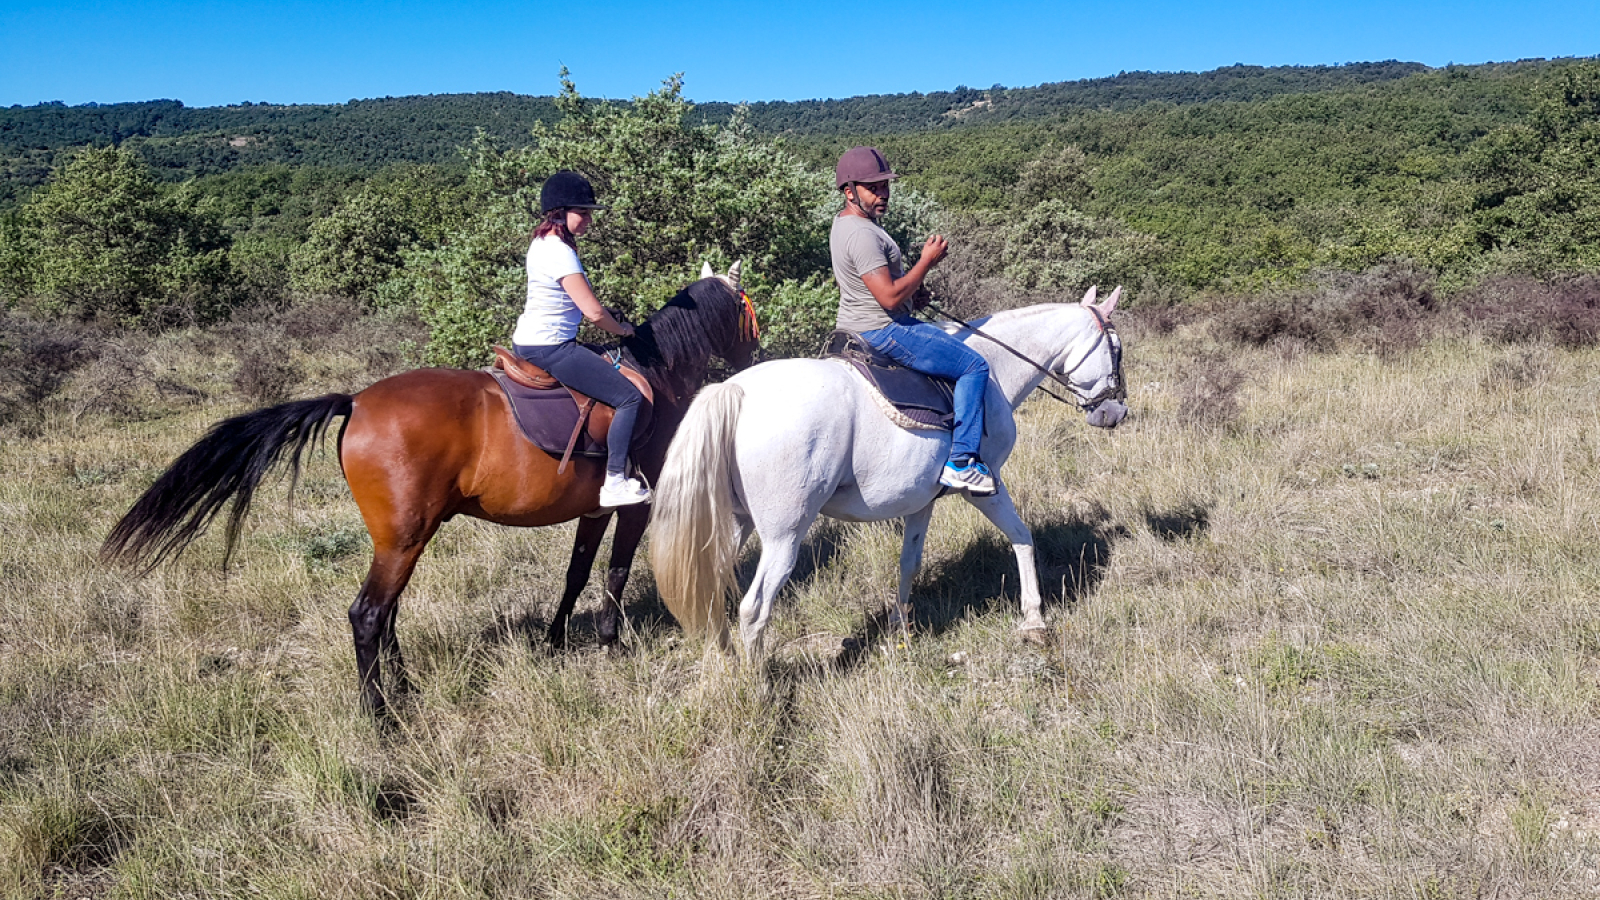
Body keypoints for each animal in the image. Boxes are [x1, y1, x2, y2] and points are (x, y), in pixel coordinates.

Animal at [103, 267, 758, 714]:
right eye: (745, 311)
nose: (755, 352)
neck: (655, 377)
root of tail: (356, 401)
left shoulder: (594, 510)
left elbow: (576, 572)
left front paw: (555, 641)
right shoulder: (635, 507)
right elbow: (616, 574)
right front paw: (609, 644)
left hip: (402, 537)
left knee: (386, 614)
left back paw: (404, 686)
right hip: (404, 538)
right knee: (368, 614)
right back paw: (379, 713)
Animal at [646, 283, 1126, 656]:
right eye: (1116, 349)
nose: (1115, 412)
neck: (993, 369)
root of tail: (736, 391)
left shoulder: (919, 501)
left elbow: (909, 563)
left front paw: (901, 630)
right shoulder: (984, 487)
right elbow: (1022, 537)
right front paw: (1034, 620)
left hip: (735, 523)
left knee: (712, 592)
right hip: (784, 534)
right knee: (754, 608)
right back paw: (757, 686)